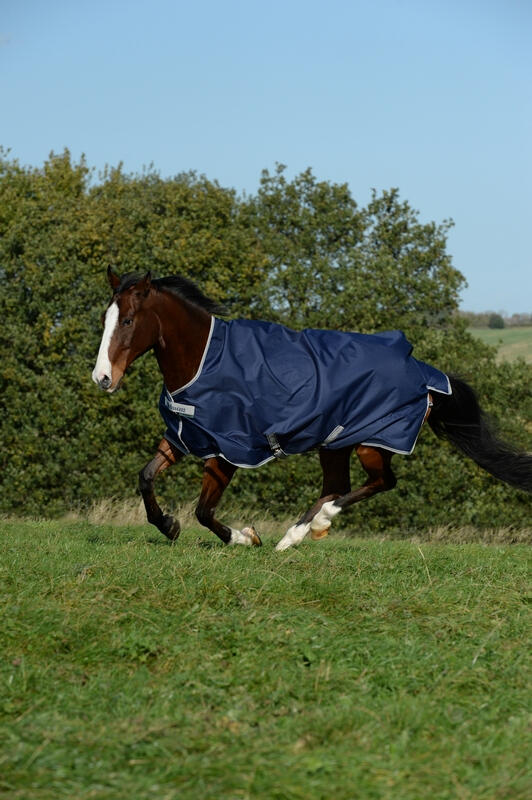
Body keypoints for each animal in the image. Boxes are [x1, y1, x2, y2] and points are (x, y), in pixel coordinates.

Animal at [92, 268, 532, 550]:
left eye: (128, 320)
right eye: (105, 318)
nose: (102, 379)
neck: (204, 359)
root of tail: (425, 373)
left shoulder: (228, 450)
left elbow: (203, 509)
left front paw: (245, 537)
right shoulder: (185, 436)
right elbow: (146, 478)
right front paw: (168, 525)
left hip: (370, 441)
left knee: (380, 483)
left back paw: (310, 526)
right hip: (334, 444)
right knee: (337, 486)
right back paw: (297, 534)